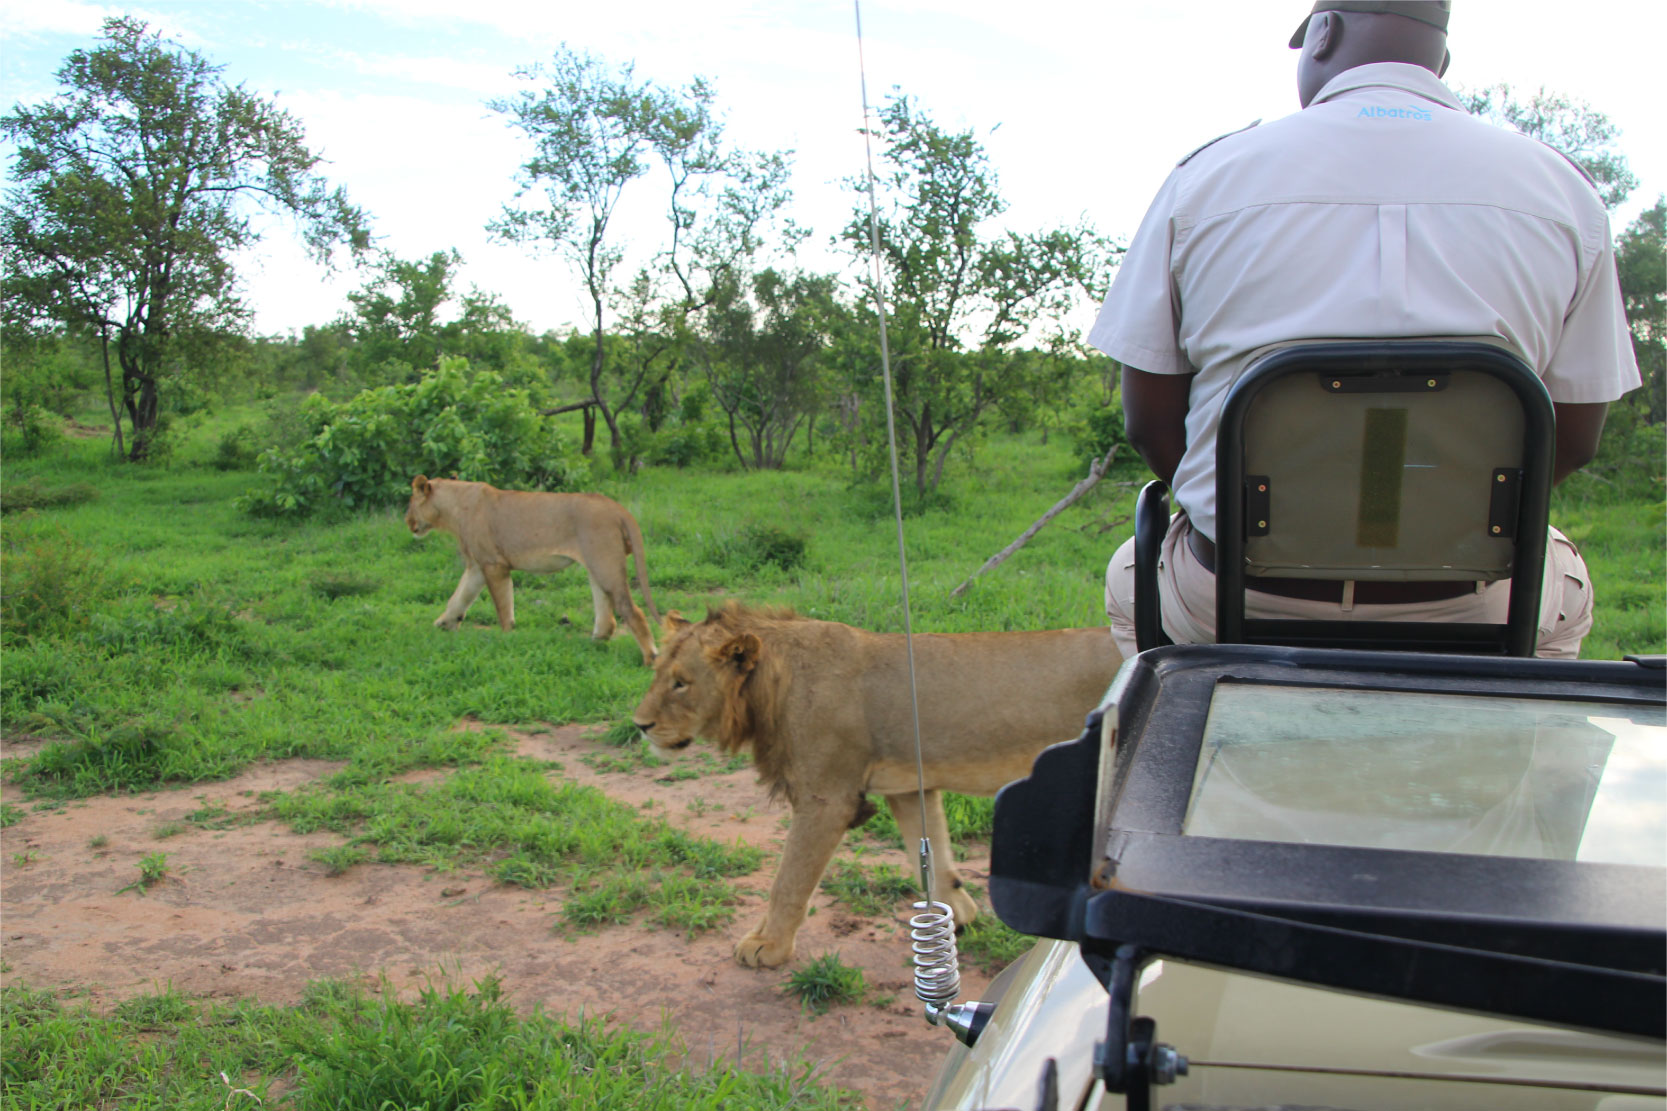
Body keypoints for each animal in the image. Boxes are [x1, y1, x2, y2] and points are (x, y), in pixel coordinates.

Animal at [406, 473, 660, 660]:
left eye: (410, 503)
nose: (407, 522)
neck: (454, 507)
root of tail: (618, 508)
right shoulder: (477, 567)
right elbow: (459, 597)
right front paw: (444, 623)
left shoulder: (494, 564)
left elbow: (503, 606)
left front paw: (506, 638)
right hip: (596, 566)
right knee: (607, 616)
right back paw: (593, 644)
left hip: (605, 564)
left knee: (632, 610)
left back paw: (651, 658)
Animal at [633, 600, 1120, 967]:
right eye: (656, 674)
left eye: (681, 683)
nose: (639, 725)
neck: (771, 683)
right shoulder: (909, 787)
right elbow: (934, 855)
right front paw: (955, 921)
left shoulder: (826, 798)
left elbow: (788, 879)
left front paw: (767, 946)